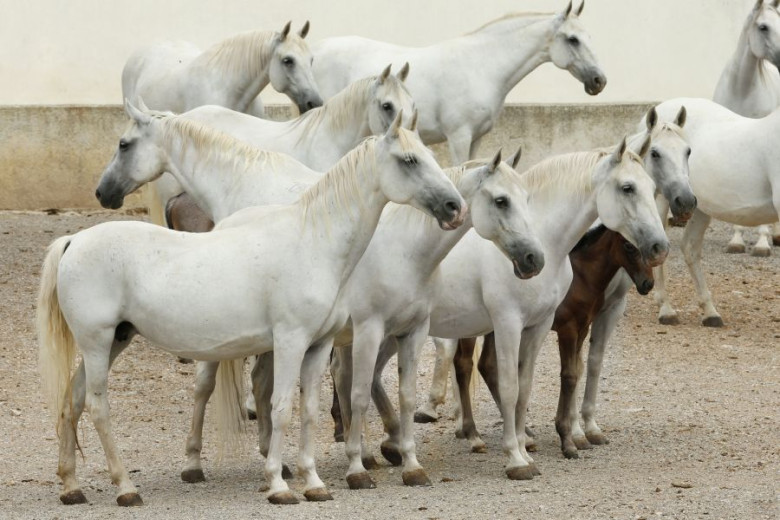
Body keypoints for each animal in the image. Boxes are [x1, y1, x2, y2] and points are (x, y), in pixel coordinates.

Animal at [39, 108, 466, 507]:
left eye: (430, 155)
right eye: (409, 160)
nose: (454, 206)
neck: (313, 240)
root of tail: (74, 241)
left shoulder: (318, 346)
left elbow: (308, 409)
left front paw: (314, 483)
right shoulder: (290, 341)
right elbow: (279, 408)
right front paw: (278, 484)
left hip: (115, 340)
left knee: (73, 399)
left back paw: (72, 486)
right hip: (97, 343)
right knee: (97, 407)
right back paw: (126, 488)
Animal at [311, 1, 606, 165]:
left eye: (589, 37)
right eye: (572, 39)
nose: (599, 81)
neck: (482, 66)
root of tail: (314, 51)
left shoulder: (476, 138)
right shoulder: (459, 137)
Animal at [415, 105, 695, 425]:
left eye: (688, 151)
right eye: (628, 187)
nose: (660, 247)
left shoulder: (578, 317)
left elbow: (575, 369)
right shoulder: (532, 322)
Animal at [446, 224, 655, 459]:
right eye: (628, 245)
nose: (648, 283)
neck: (583, 276)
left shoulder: (582, 328)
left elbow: (576, 371)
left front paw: (575, 434)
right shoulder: (568, 329)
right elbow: (569, 376)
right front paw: (568, 439)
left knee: (487, 365)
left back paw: (524, 433)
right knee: (464, 366)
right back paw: (474, 436)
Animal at [647, 97, 780, 327]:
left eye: (689, 152)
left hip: (698, 206)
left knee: (690, 247)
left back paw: (710, 312)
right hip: (662, 199)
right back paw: (666, 310)